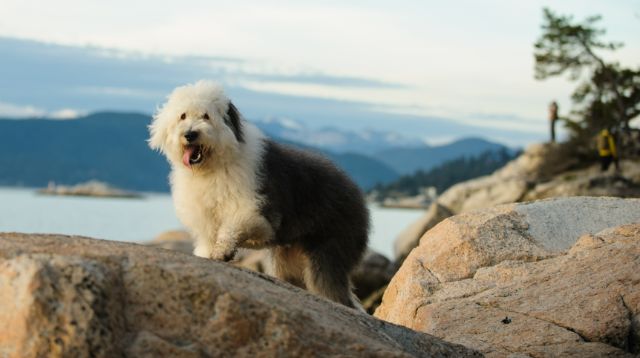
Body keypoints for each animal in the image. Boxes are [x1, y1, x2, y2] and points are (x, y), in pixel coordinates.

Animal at [149, 80, 370, 308]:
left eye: (206, 116)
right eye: (182, 116)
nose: (190, 134)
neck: (213, 167)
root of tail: (357, 192)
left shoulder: (255, 209)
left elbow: (235, 226)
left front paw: (223, 251)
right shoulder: (205, 218)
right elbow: (207, 239)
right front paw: (208, 254)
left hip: (330, 251)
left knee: (334, 291)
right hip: (288, 258)